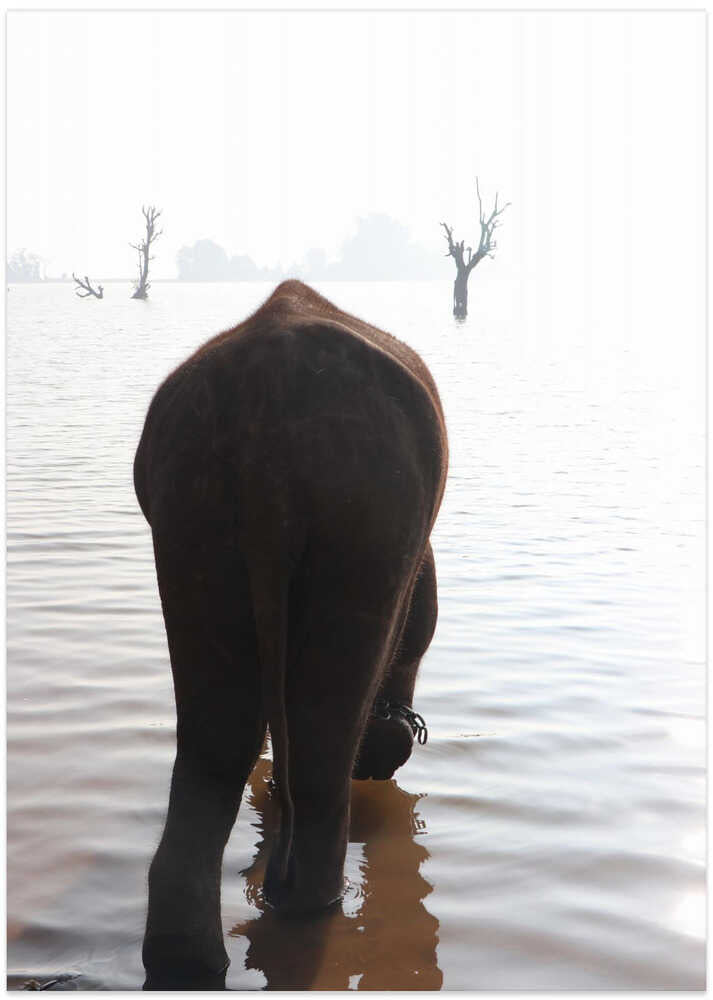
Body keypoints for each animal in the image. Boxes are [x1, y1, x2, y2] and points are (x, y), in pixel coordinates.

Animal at [133, 280, 448, 982]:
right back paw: (310, 908)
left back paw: (190, 965)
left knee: (215, 743)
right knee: (324, 733)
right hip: (365, 509)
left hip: (191, 503)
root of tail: (266, 409)